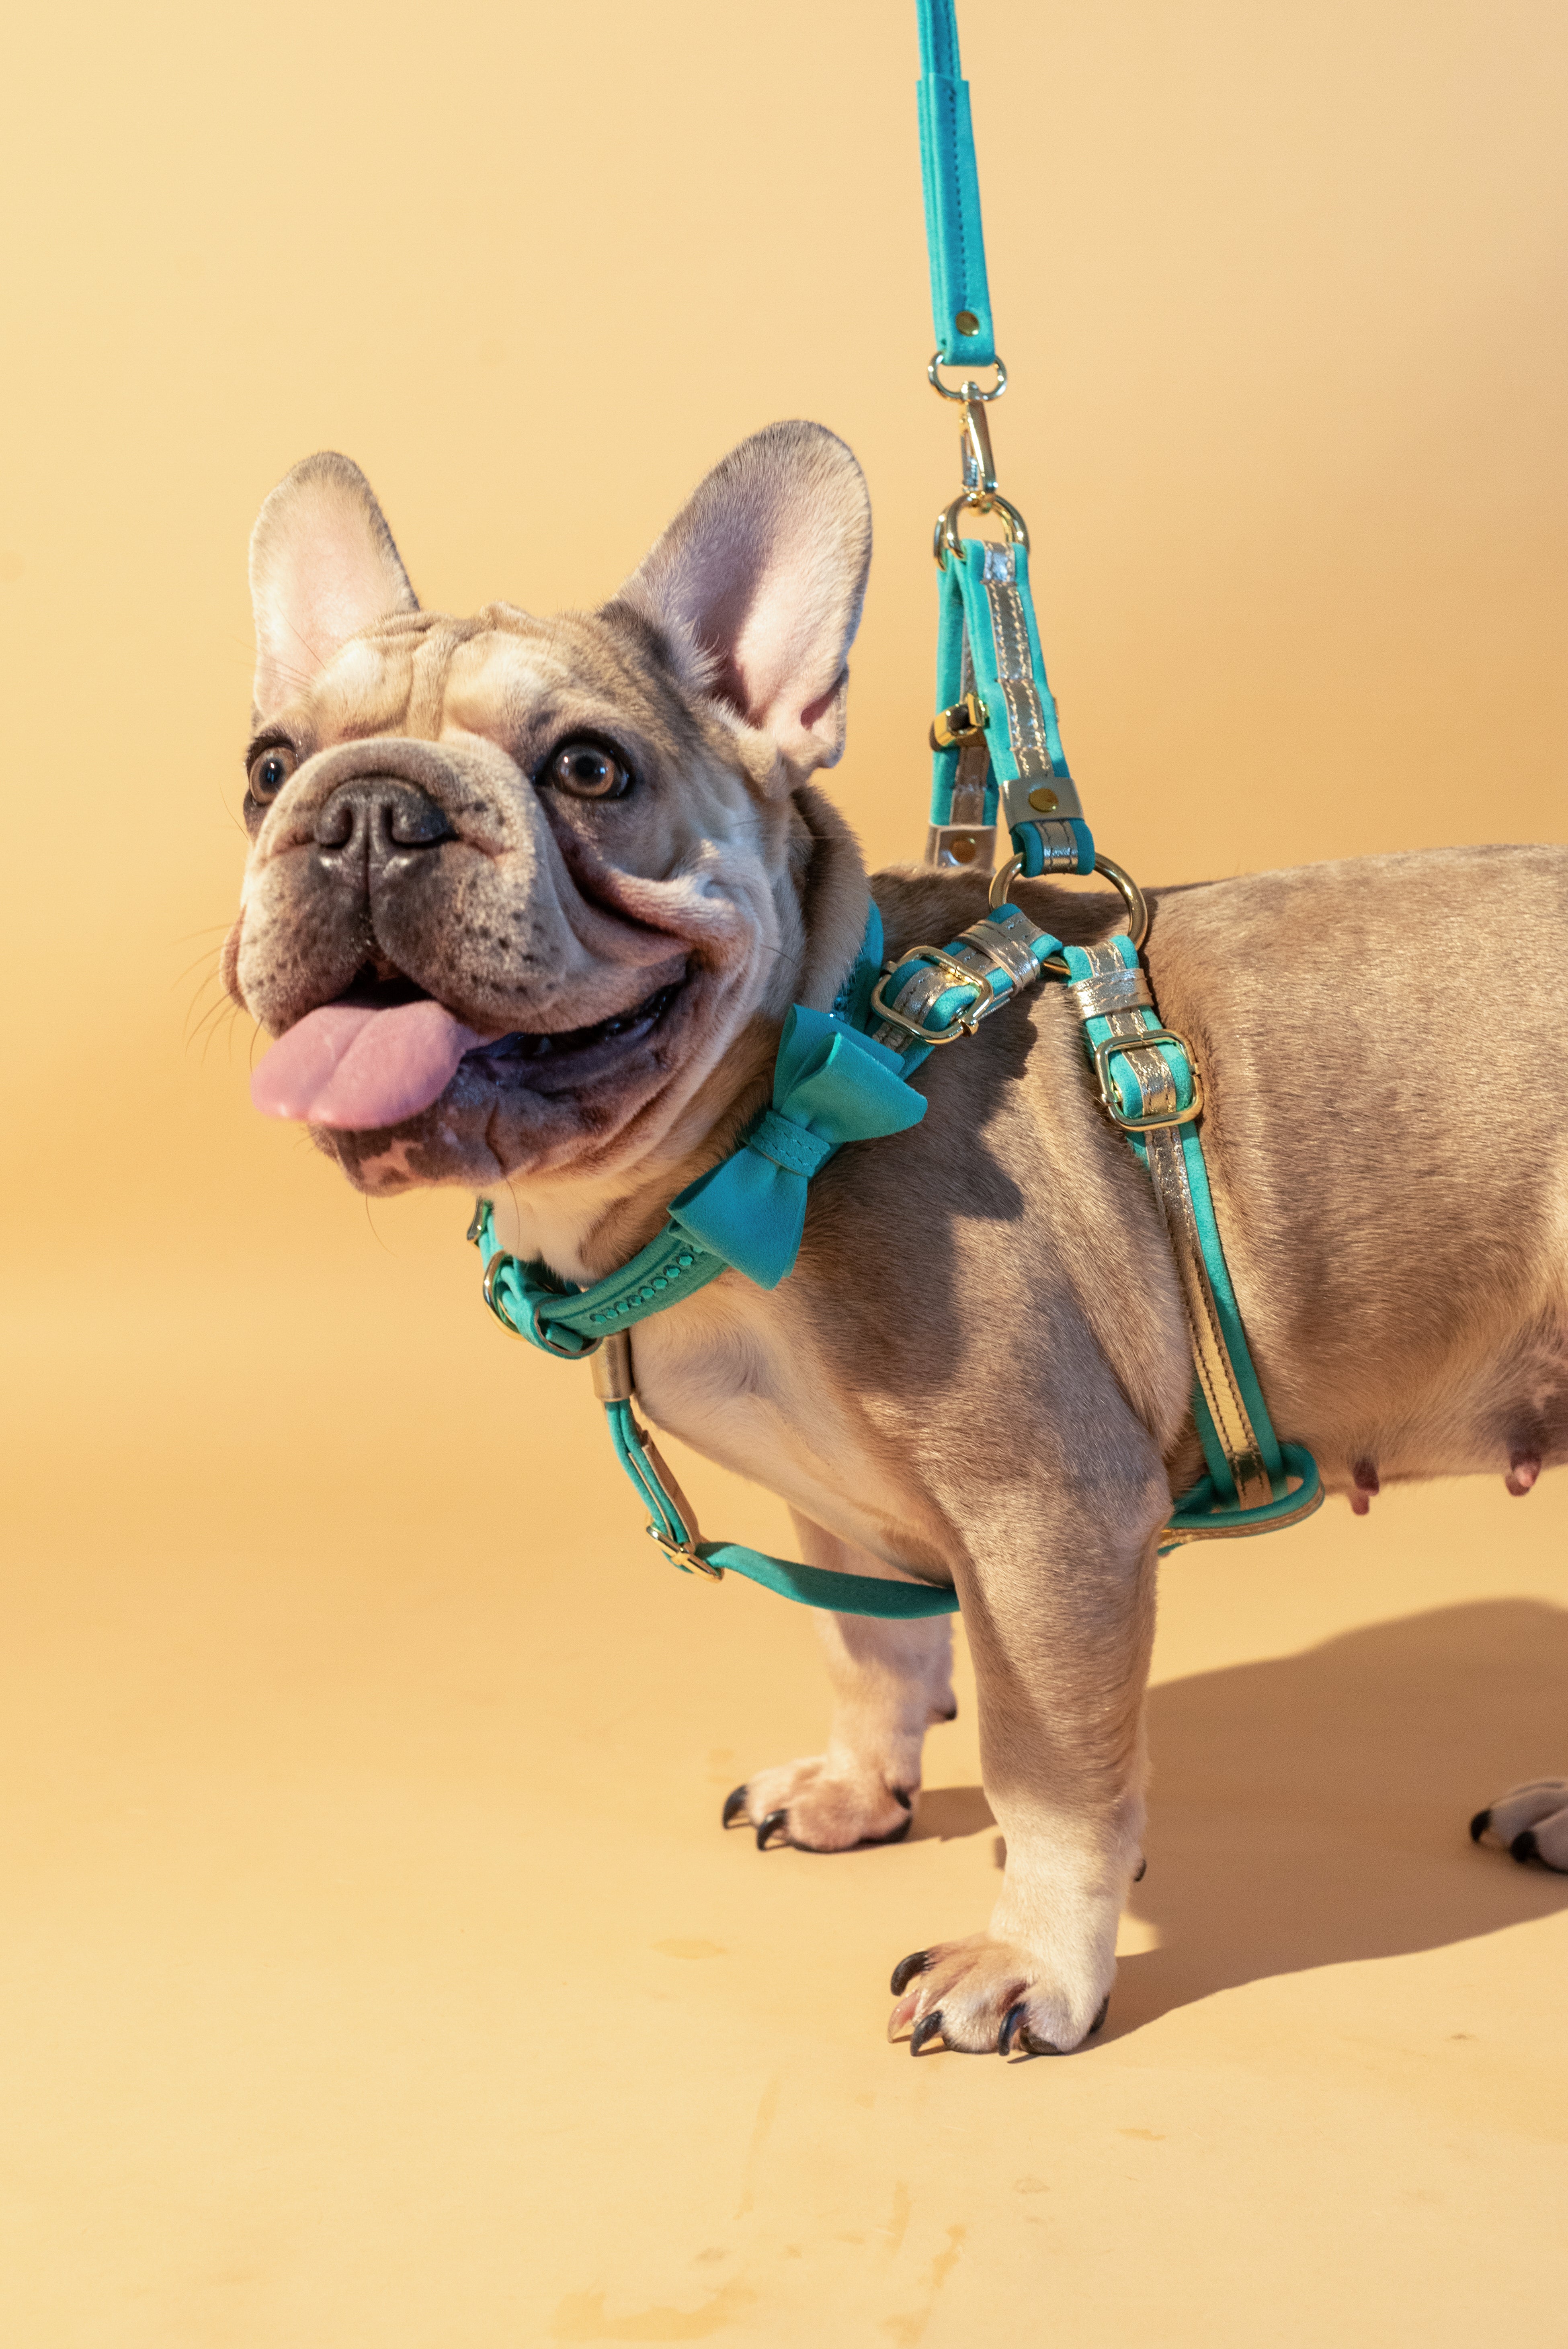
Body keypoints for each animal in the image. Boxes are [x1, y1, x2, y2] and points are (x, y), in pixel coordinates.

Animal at [226, 423, 1558, 2058]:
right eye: (266, 766)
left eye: (590, 768)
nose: (367, 808)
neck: (774, 1118)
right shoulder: (848, 1510)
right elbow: (869, 1651)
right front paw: (857, 1793)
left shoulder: (1051, 1515)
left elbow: (1054, 1772)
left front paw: (1033, 1965)